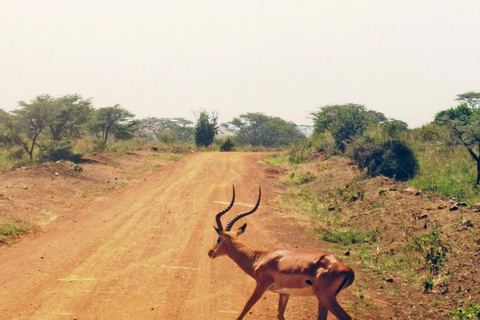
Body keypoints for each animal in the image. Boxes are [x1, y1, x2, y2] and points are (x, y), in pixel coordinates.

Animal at [208, 186, 354, 318]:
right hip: (323, 301)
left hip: (326, 298)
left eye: (218, 239)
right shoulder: (284, 293)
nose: (210, 252)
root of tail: (348, 269)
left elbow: (246, 307)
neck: (260, 259)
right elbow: (280, 314)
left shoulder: (261, 285)